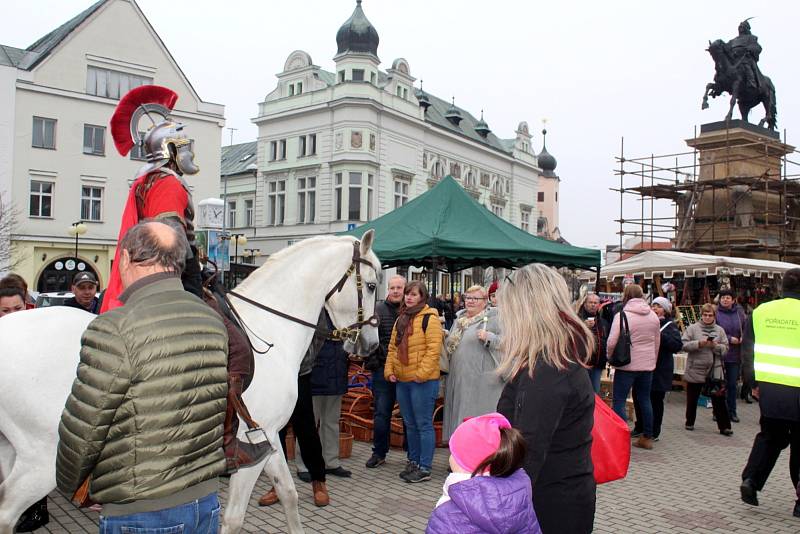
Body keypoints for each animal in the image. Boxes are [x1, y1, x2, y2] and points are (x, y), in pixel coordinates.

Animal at [0, 233, 380, 534]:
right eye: (373, 285)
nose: (372, 345)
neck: (269, 327)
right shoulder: (253, 442)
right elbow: (234, 519)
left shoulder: (269, 436)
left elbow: (288, 495)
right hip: (44, 458)